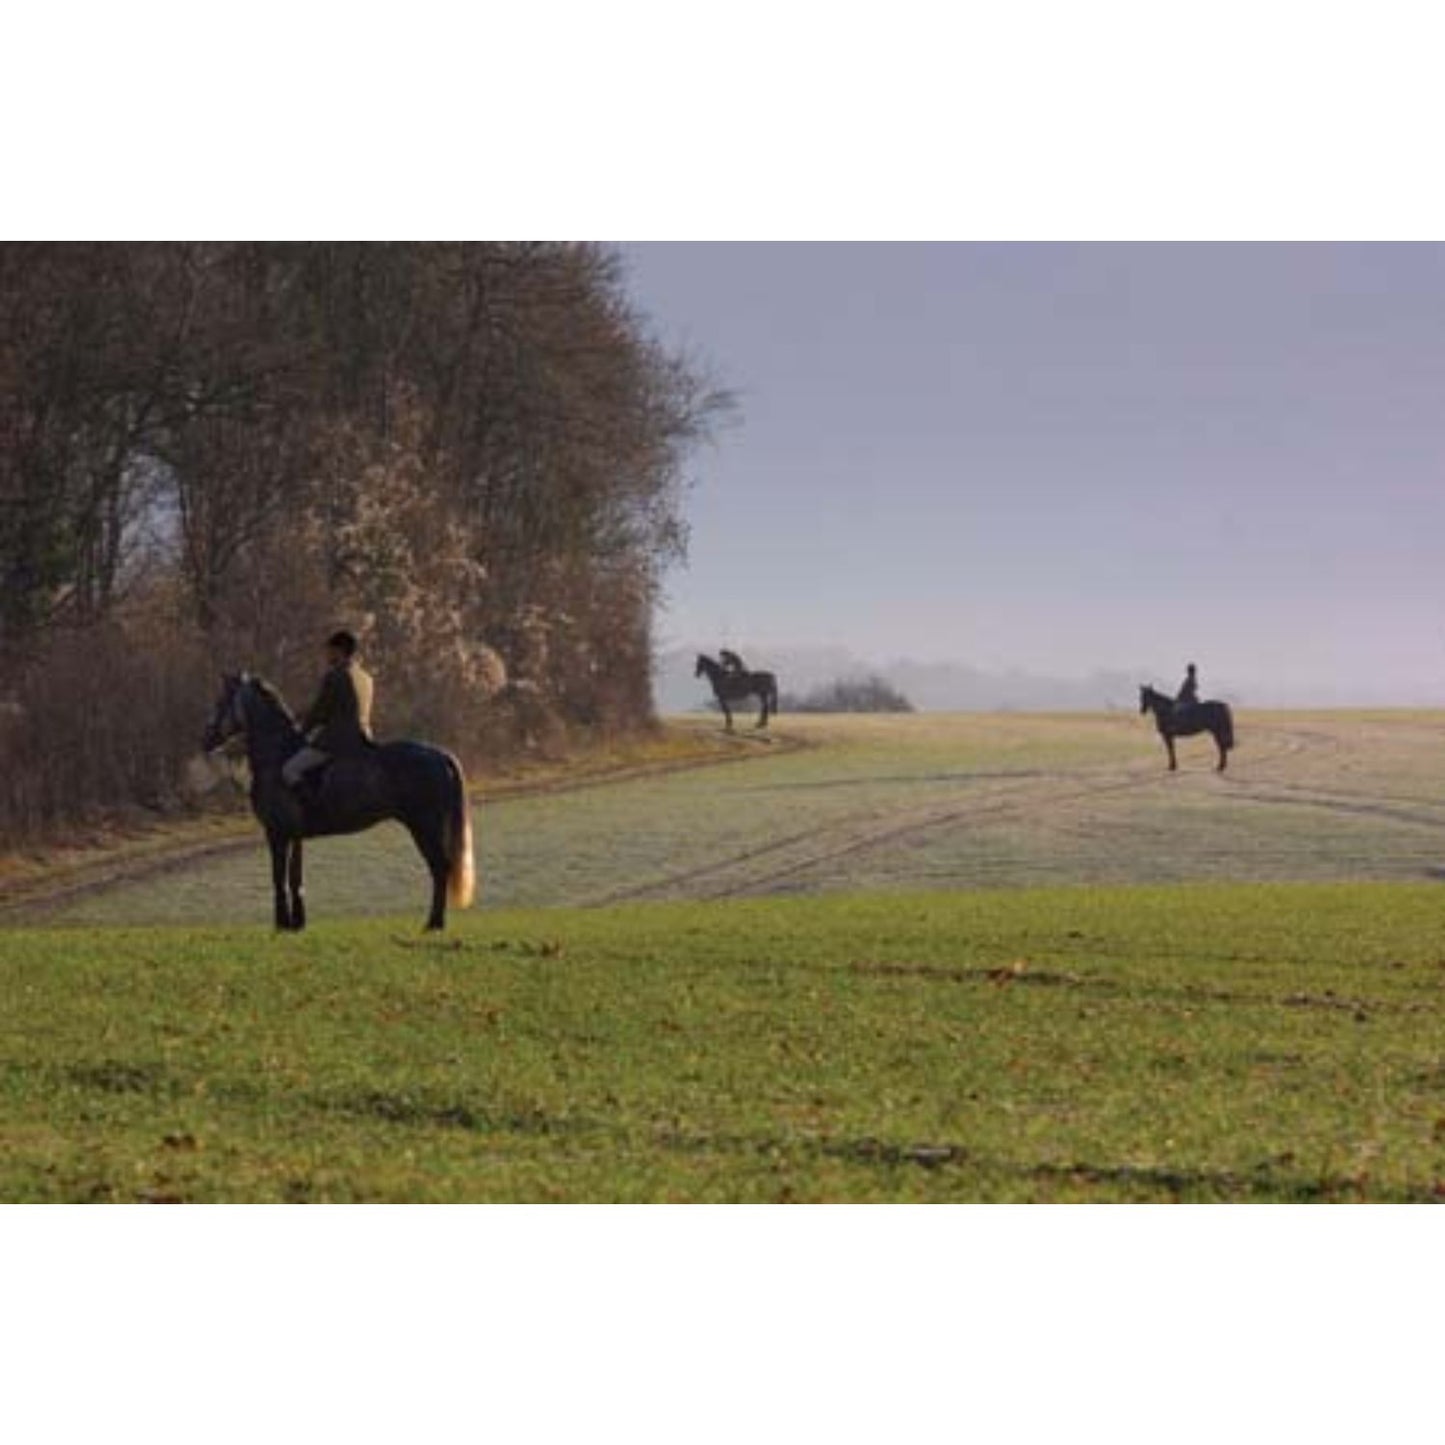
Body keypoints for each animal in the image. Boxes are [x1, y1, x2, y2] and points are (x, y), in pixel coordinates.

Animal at [200, 670, 473, 930]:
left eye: (221, 701)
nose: (206, 739)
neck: (277, 755)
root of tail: (440, 755)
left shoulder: (276, 832)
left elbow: (279, 877)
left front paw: (282, 923)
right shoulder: (294, 834)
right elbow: (295, 876)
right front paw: (297, 922)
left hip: (425, 826)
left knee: (440, 868)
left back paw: (434, 923)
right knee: (440, 869)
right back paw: (435, 922)